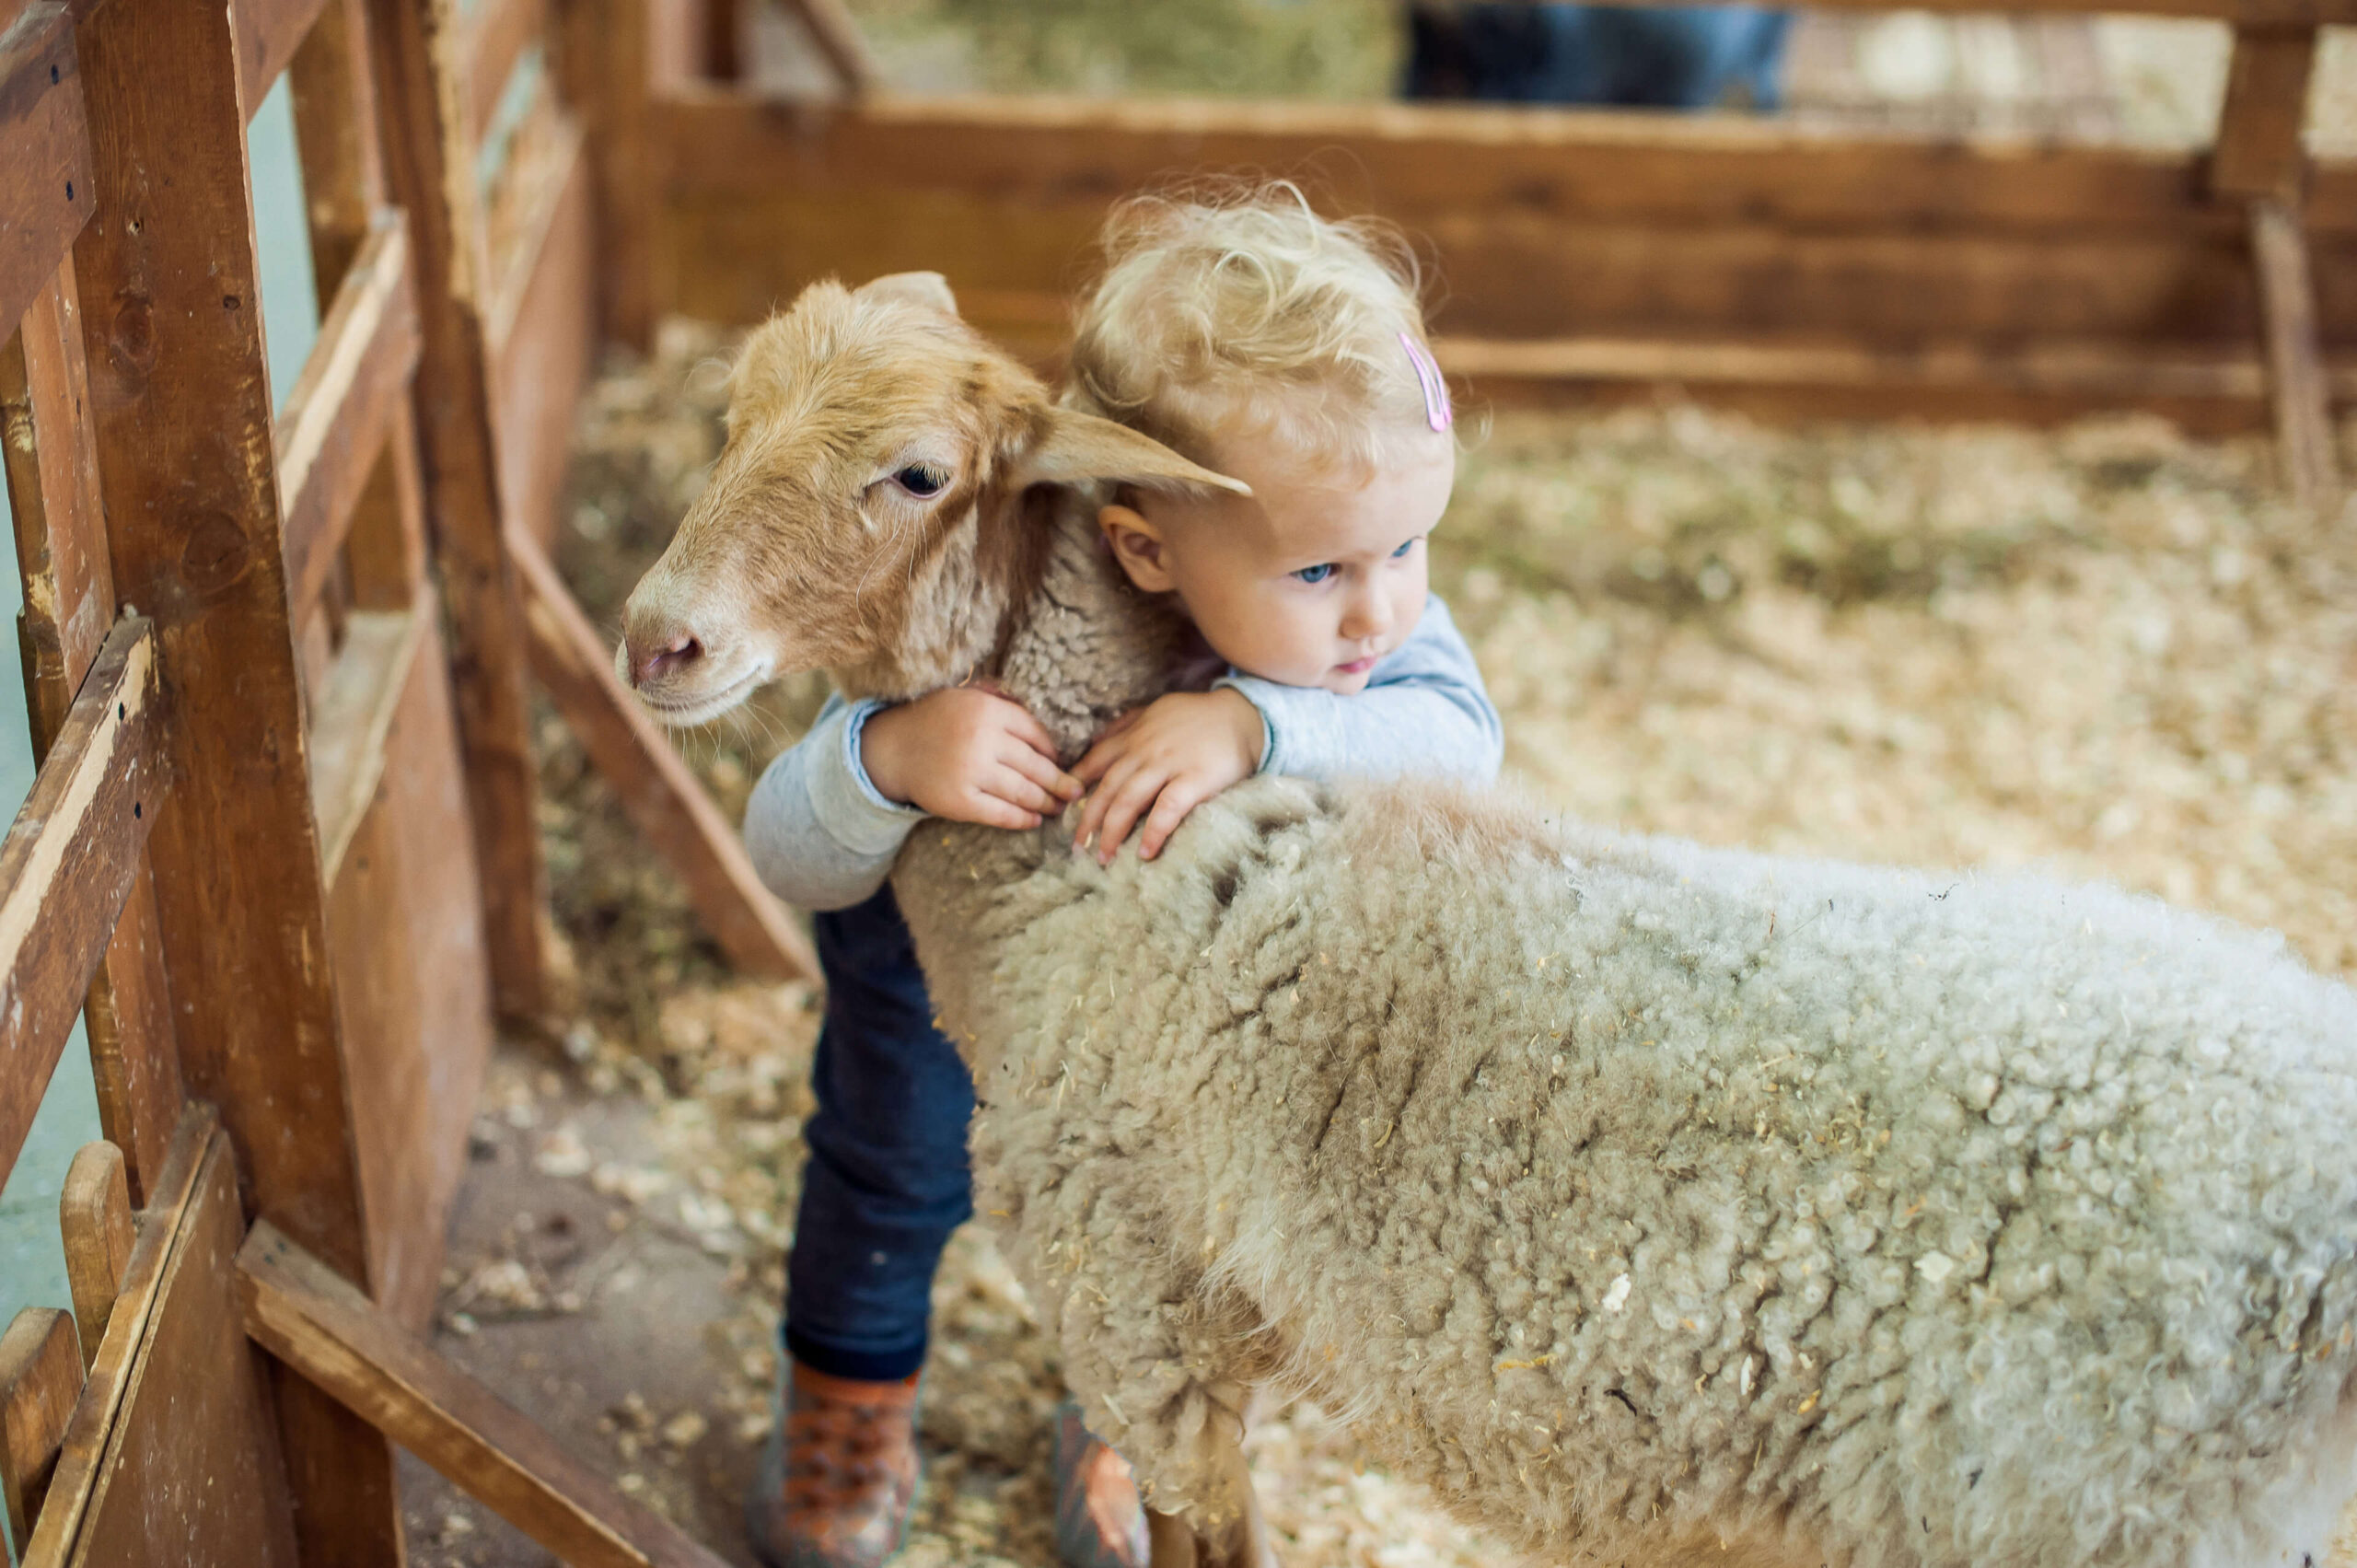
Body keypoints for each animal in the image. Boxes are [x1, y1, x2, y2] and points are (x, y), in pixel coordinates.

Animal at [617, 274, 2357, 1565]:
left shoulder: (1140, 1313)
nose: (656, 641)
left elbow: (1206, 1536)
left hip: (2097, 1505)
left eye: (916, 472)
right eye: (733, 415)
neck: (1091, 890)